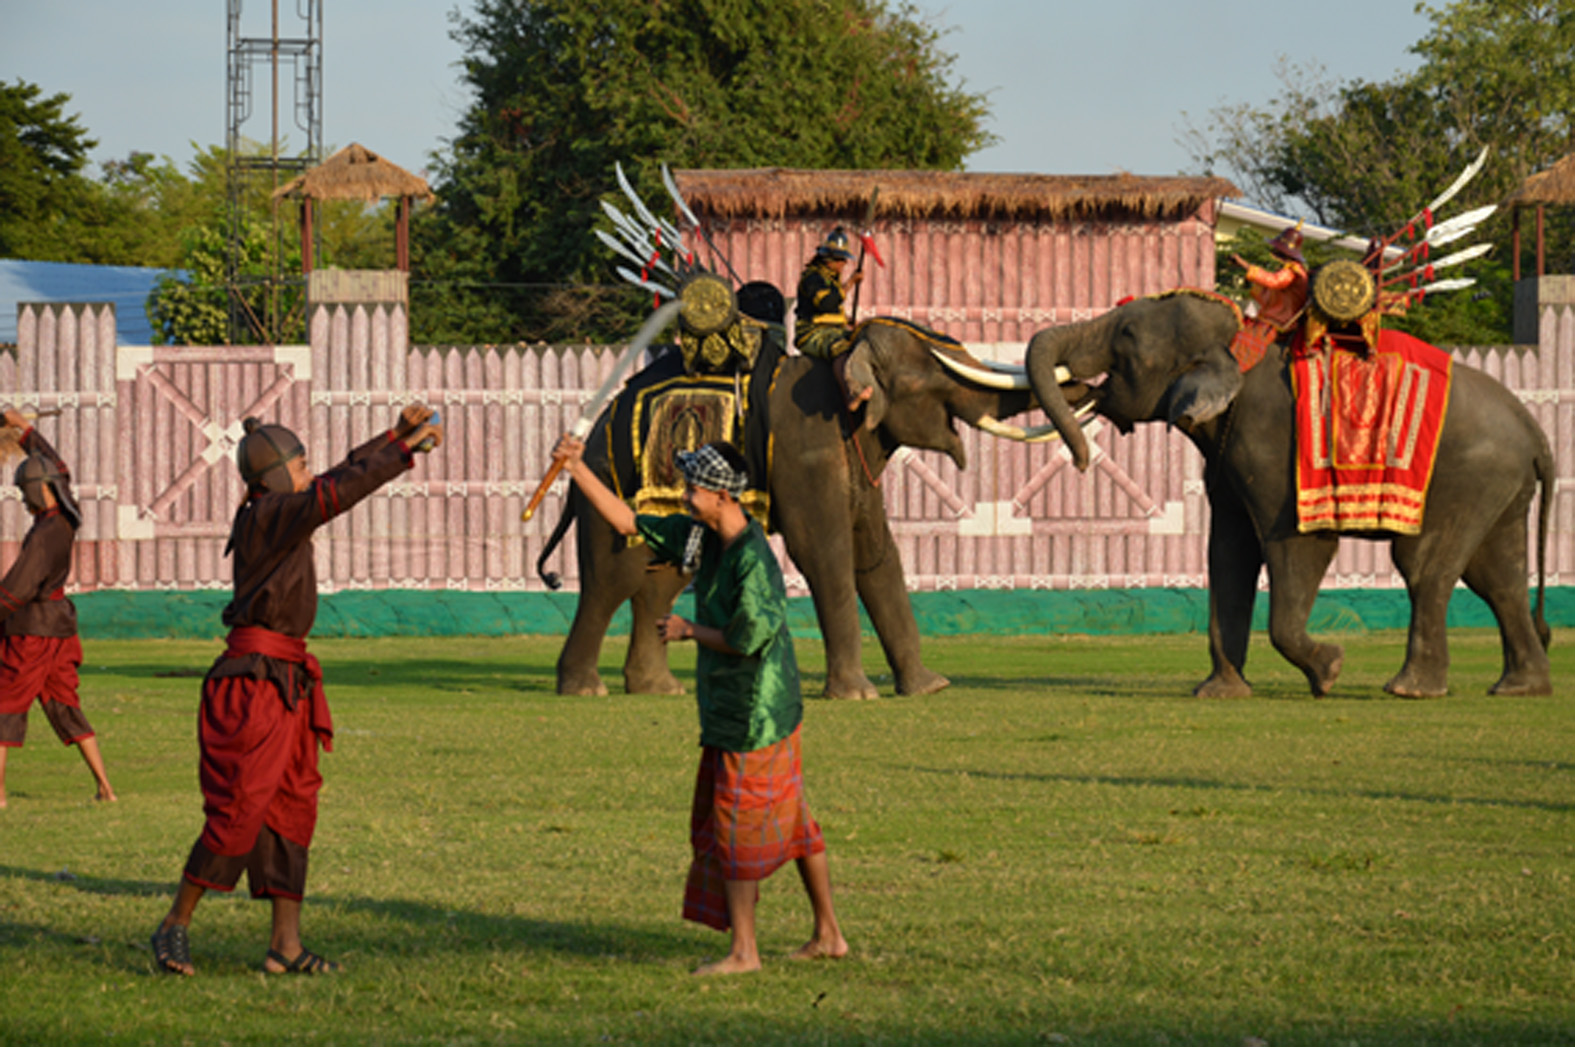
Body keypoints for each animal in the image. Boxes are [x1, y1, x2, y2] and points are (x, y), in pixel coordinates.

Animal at [540, 311, 1047, 699]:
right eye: (939, 377)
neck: (842, 359)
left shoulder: (853, 458)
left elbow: (876, 556)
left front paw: (929, 687)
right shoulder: (807, 449)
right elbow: (824, 552)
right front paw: (857, 695)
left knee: (661, 581)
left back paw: (658, 688)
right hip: (610, 484)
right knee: (615, 579)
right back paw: (585, 688)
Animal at [1022, 292, 1553, 698]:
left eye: (1128, 335)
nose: (1083, 461)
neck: (1240, 342)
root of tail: (1535, 431)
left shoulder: (1273, 451)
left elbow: (1299, 547)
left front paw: (1330, 671)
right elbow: (1227, 556)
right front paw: (1219, 693)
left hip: (1469, 475)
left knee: (1424, 566)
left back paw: (1410, 689)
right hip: (1498, 485)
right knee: (1497, 577)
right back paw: (1519, 688)